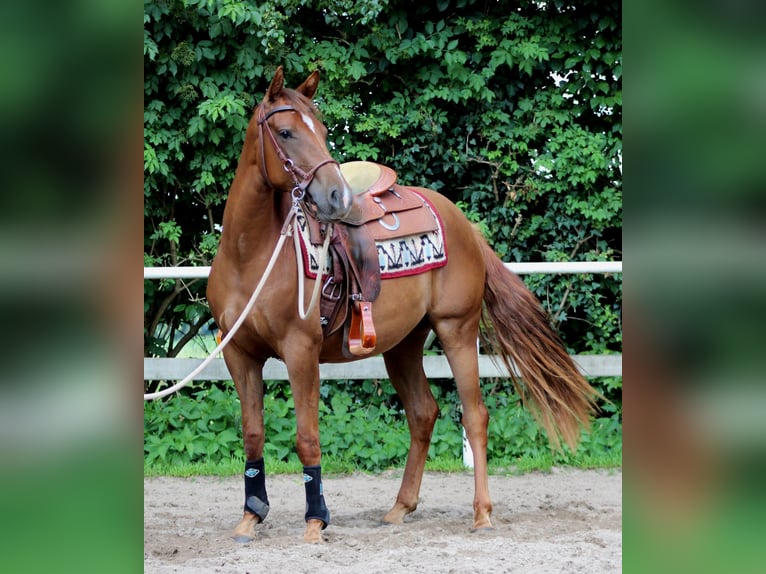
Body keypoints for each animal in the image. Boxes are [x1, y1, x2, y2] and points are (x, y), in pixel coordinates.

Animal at [207, 66, 597, 543]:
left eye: (323, 130)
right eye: (285, 132)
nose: (338, 197)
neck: (252, 255)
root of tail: (463, 223)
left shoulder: (301, 351)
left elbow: (307, 436)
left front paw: (316, 521)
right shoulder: (238, 353)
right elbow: (252, 433)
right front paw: (250, 516)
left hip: (456, 330)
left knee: (475, 415)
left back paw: (482, 513)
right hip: (404, 344)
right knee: (423, 413)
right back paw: (400, 507)